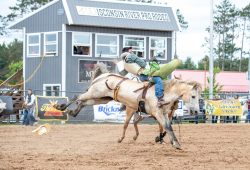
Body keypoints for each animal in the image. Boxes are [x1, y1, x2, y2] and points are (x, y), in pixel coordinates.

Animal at [54, 63, 201, 149]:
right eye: (193, 96)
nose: (195, 112)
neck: (163, 93)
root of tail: (104, 75)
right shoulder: (157, 113)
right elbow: (167, 127)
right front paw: (176, 144)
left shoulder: (164, 114)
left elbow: (167, 127)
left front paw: (172, 141)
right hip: (94, 93)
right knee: (77, 97)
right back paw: (61, 107)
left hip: (101, 99)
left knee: (83, 102)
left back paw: (72, 113)